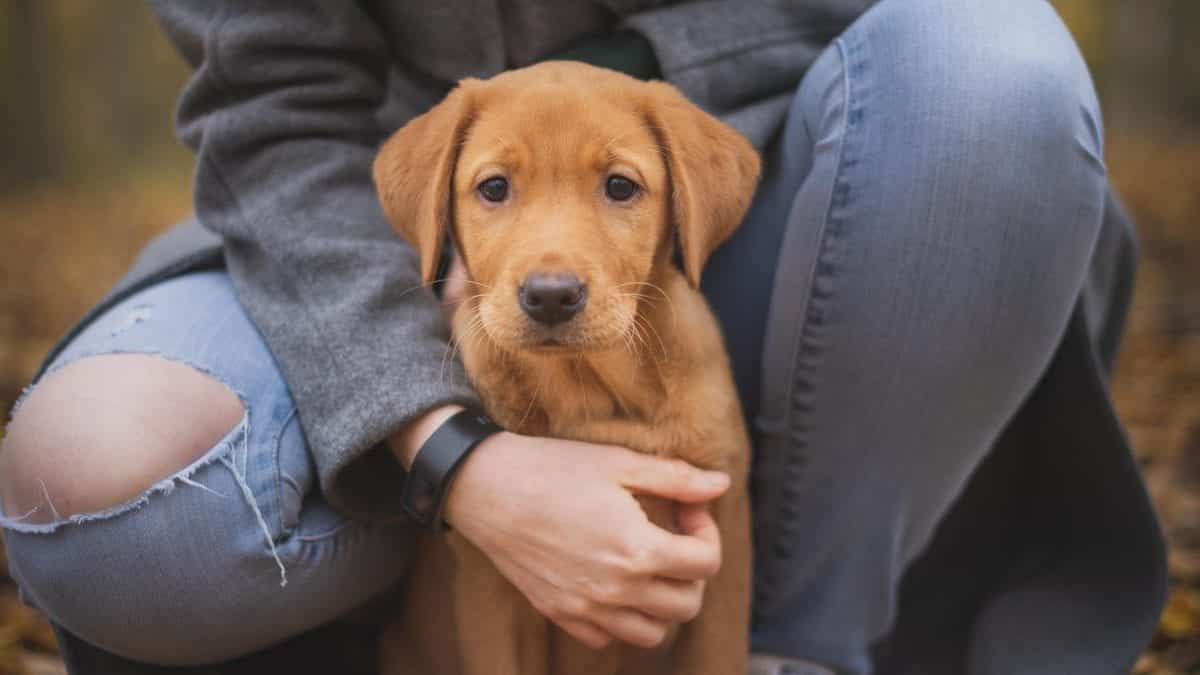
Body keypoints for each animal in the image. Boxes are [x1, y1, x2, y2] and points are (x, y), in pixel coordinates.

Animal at [372, 61, 758, 672]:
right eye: (494, 188)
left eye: (620, 187)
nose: (550, 296)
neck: (592, 390)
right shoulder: (489, 586)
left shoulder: (726, 544)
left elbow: (719, 655)